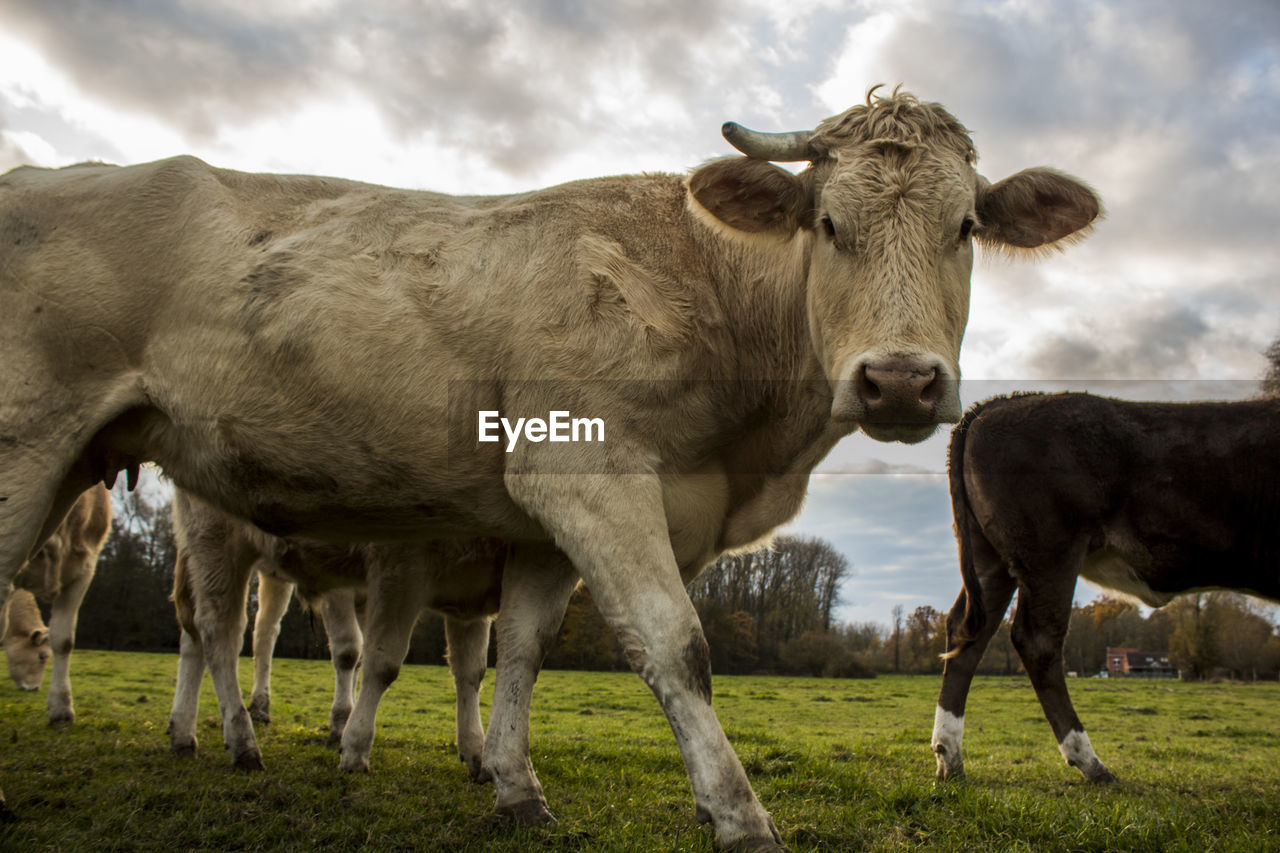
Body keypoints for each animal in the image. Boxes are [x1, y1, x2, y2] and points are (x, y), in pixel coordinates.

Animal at [0, 87, 1100, 845]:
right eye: (828, 224)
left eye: (966, 227)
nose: (900, 382)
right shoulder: (590, 475)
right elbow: (677, 646)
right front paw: (739, 814)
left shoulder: (539, 521)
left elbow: (519, 651)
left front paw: (514, 785)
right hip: (62, 460)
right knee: (217, 629)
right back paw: (232, 739)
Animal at [931, 389, 1280, 778]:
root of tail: (997, 403)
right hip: (1050, 553)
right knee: (1037, 640)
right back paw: (1089, 761)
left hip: (993, 559)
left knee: (968, 634)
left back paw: (950, 757)